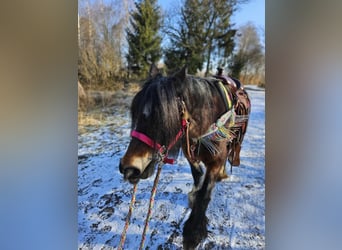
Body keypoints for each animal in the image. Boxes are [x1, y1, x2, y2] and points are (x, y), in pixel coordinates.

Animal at [119, 65, 250, 249]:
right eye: (136, 114)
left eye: (162, 119)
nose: (129, 168)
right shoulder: (189, 152)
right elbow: (197, 175)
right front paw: (193, 197)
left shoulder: (215, 161)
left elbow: (204, 193)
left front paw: (193, 232)